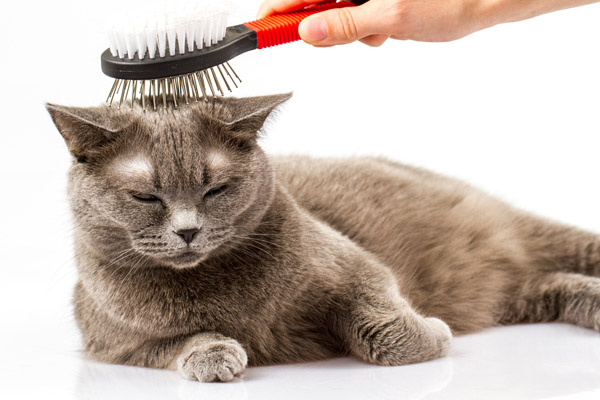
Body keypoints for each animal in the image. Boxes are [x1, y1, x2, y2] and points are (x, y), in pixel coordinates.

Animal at [48, 93, 600, 382]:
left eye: (216, 189)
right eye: (145, 197)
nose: (188, 230)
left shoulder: (353, 266)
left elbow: (385, 330)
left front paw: (433, 333)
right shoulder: (113, 343)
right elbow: (173, 344)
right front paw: (215, 356)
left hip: (530, 233)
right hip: (512, 293)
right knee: (550, 284)